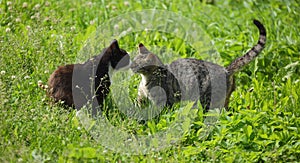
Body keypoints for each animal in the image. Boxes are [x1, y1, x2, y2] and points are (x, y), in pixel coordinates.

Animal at [130, 19, 266, 111]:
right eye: (133, 60)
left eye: (136, 63)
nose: (130, 66)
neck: (146, 79)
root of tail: (225, 69)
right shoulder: (141, 98)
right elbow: (139, 105)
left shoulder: (163, 101)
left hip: (208, 100)